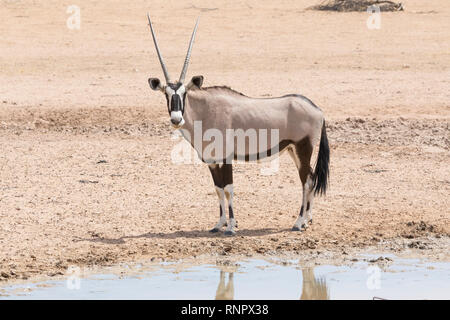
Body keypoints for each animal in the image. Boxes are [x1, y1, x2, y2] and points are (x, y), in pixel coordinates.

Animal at [148, 14, 330, 235]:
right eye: (166, 94)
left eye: (184, 93)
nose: (176, 119)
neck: (205, 111)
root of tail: (317, 109)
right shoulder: (212, 161)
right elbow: (218, 190)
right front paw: (219, 224)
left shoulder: (225, 158)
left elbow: (228, 189)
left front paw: (231, 227)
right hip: (293, 150)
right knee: (310, 179)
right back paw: (307, 220)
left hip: (304, 148)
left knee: (307, 181)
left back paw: (298, 222)